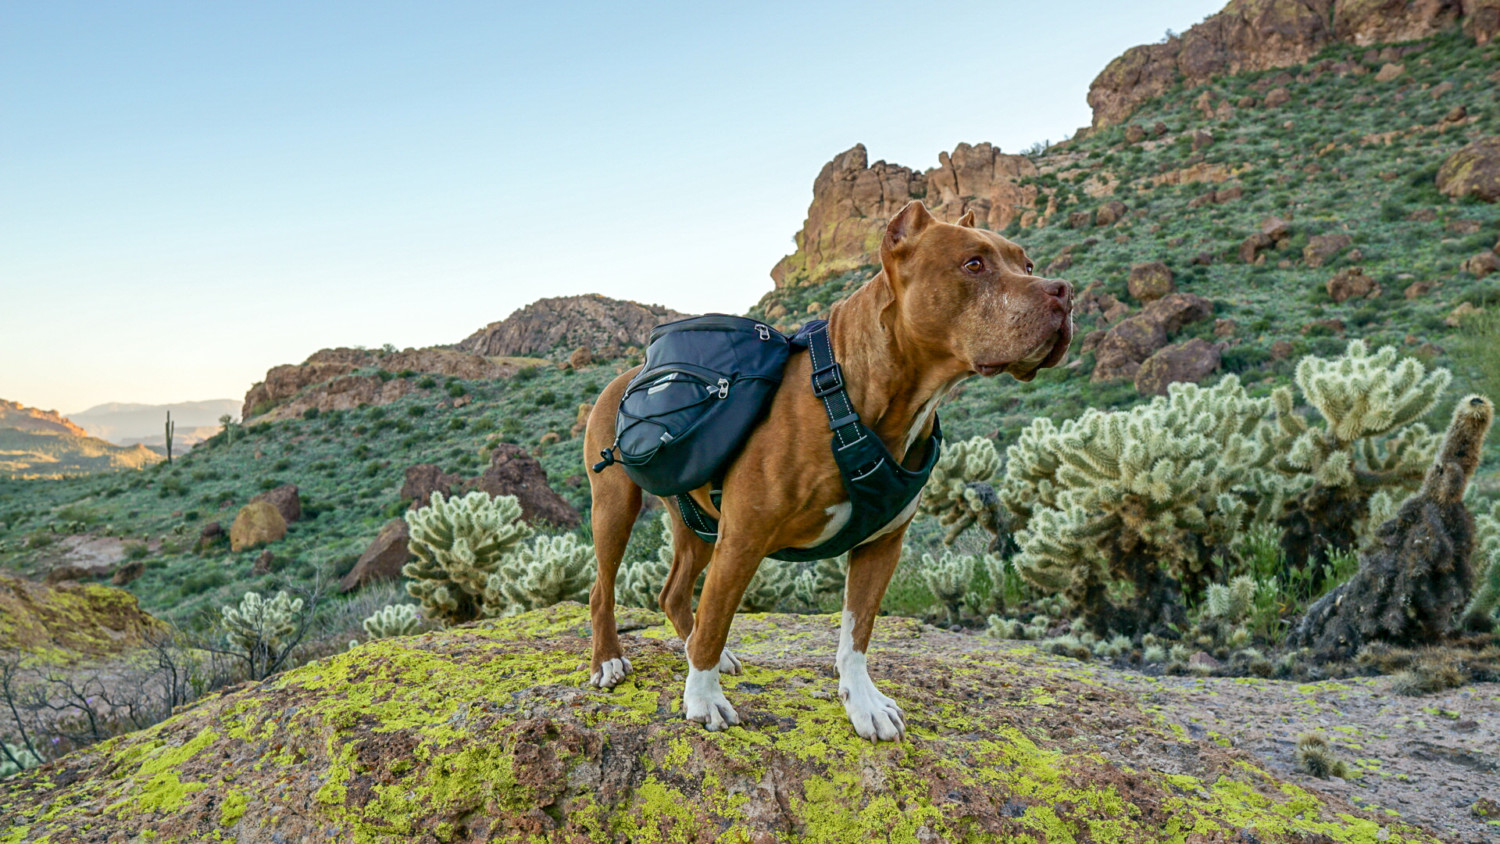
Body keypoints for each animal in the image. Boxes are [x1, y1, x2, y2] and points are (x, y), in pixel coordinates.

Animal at [579, 200, 1074, 743]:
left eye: (1026, 265)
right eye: (974, 264)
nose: (1063, 292)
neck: (856, 396)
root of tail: (628, 376)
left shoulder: (881, 545)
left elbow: (856, 634)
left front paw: (863, 703)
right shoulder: (743, 540)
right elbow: (716, 621)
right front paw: (704, 700)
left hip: (698, 524)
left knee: (673, 593)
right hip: (616, 507)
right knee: (603, 589)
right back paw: (608, 661)